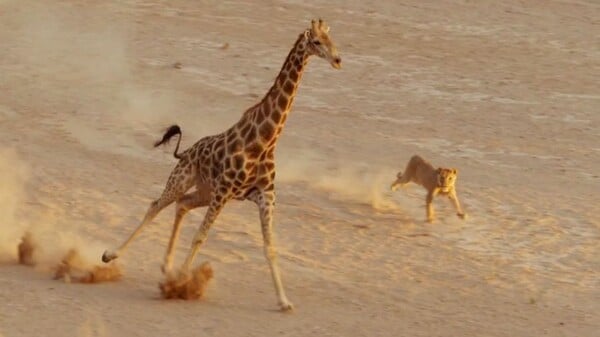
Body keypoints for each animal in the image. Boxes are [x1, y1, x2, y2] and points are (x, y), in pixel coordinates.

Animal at [101, 19, 340, 312]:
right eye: (316, 42)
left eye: (331, 40)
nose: (338, 59)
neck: (266, 140)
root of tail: (186, 152)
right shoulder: (225, 191)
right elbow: (200, 236)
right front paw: (182, 281)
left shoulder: (265, 195)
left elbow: (270, 247)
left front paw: (284, 302)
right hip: (183, 179)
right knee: (156, 206)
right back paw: (112, 255)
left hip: (205, 191)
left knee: (182, 205)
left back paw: (167, 266)